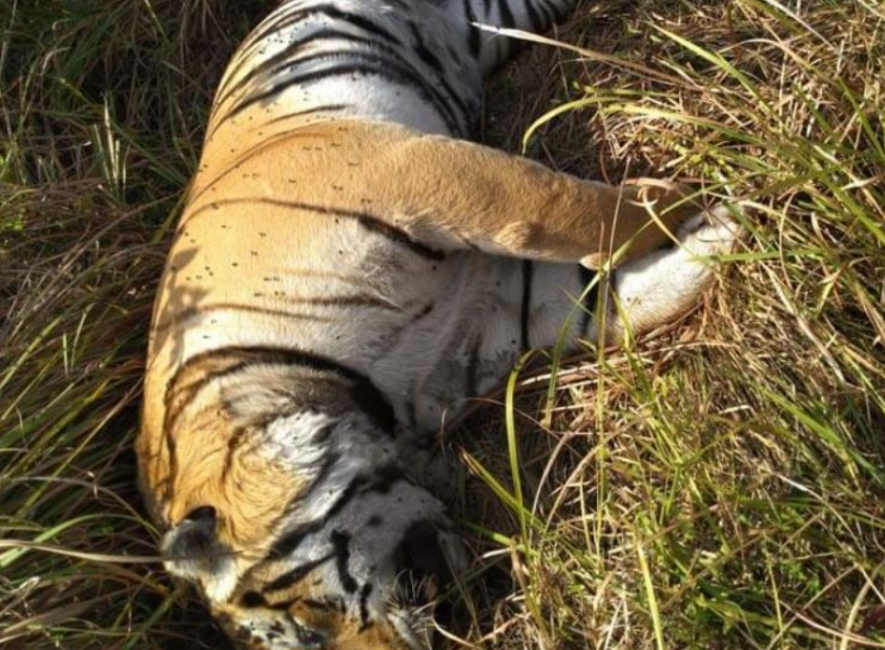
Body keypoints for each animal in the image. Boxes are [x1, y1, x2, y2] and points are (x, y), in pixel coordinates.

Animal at [137, 0, 742, 648]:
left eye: (312, 626)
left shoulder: (419, 172)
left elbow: (577, 211)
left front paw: (687, 199)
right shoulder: (500, 313)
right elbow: (624, 298)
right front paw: (720, 233)